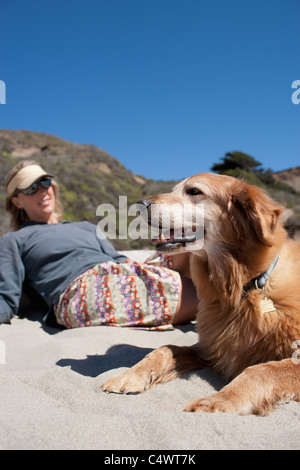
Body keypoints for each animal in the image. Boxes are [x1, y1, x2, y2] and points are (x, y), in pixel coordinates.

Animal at [102, 173, 300, 414]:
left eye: (194, 191)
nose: (139, 205)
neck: (239, 290)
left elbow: (261, 369)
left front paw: (216, 402)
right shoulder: (212, 348)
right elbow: (165, 349)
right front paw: (129, 376)